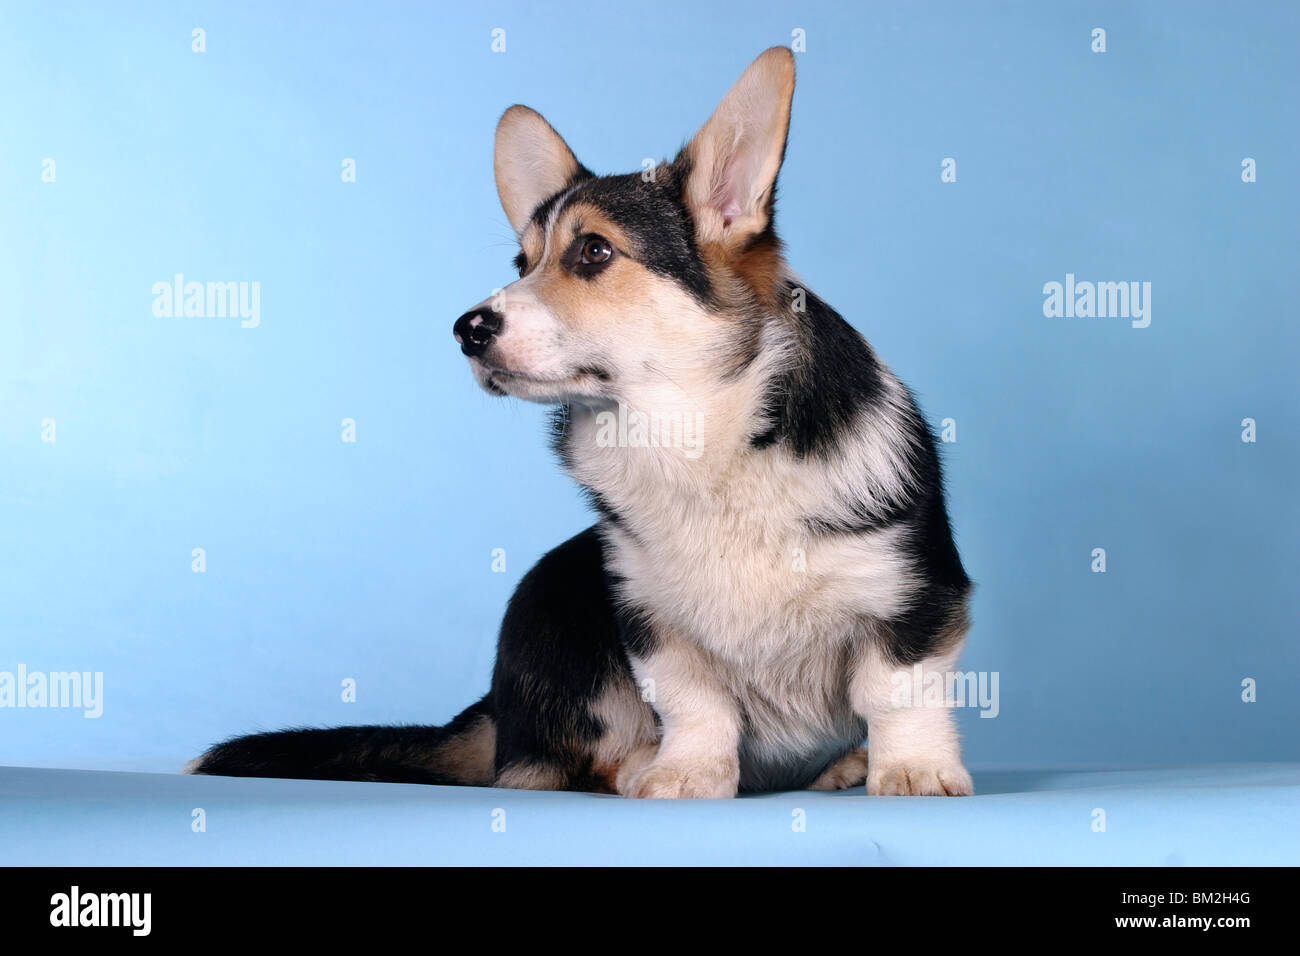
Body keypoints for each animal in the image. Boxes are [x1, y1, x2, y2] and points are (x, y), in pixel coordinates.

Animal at [185, 48, 977, 796]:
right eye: (522, 261)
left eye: (594, 251)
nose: (466, 329)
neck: (689, 438)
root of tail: (495, 710)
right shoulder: (647, 615)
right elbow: (694, 703)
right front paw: (686, 773)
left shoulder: (915, 597)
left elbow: (896, 691)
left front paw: (912, 771)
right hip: (556, 586)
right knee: (560, 759)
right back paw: (639, 765)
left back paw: (845, 765)